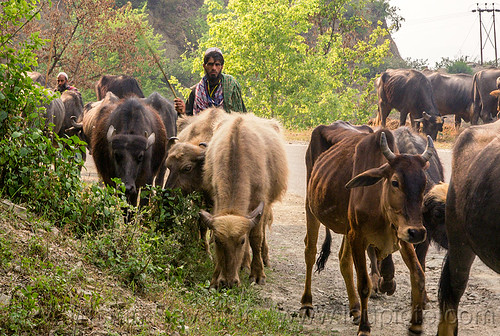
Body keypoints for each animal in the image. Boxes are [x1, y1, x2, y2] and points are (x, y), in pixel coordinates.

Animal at [197, 113, 288, 288]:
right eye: (217, 241)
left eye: (241, 240)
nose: (228, 282)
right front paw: (216, 277)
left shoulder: (260, 201)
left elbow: (256, 238)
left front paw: (258, 274)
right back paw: (244, 264)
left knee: (263, 230)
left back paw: (263, 259)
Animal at [300, 121, 434, 336]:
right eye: (395, 182)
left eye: (423, 184)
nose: (418, 232)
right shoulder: (358, 236)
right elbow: (364, 283)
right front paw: (365, 327)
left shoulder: (402, 235)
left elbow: (418, 275)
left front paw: (416, 324)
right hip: (311, 207)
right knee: (310, 252)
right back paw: (306, 303)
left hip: (346, 227)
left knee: (343, 260)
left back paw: (354, 308)